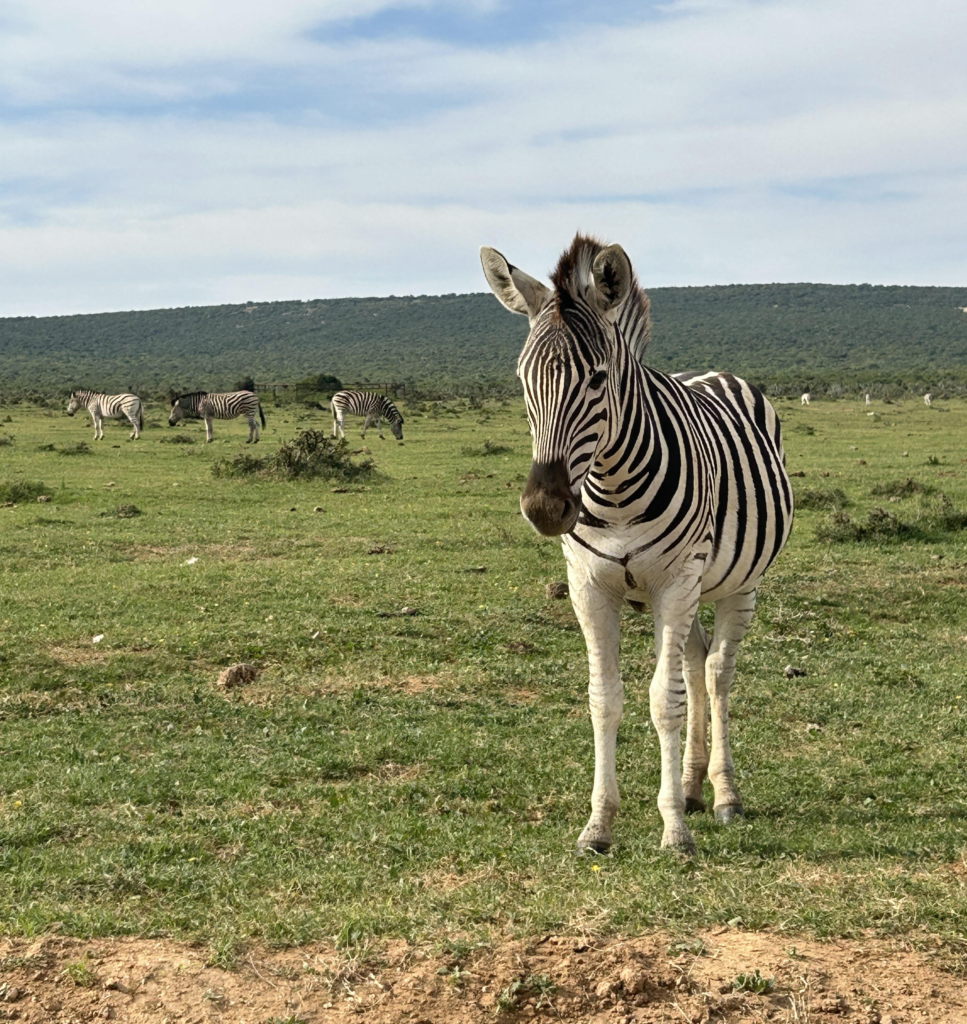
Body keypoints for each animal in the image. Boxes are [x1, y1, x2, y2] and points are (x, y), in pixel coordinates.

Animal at [480, 234, 793, 853]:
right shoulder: (588, 586)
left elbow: (664, 702)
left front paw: (673, 829)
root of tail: (712, 372)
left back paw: (723, 795)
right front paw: (599, 824)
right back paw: (693, 786)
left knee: (717, 673)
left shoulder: (676, 581)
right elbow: (606, 700)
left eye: (598, 379)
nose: (545, 507)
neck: (614, 487)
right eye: (523, 379)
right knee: (695, 664)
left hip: (736, 583)